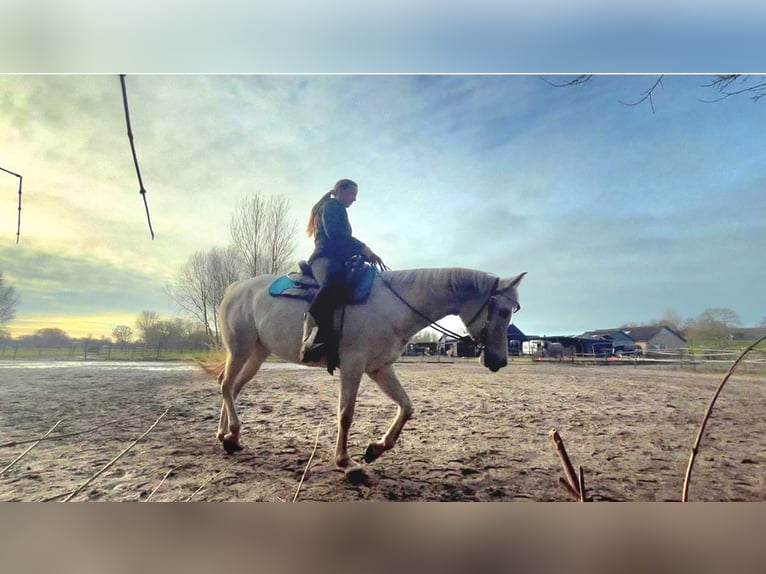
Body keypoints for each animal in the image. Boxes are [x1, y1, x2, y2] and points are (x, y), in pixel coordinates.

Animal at [201, 267, 526, 478]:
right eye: (501, 311)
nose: (500, 361)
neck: (391, 307)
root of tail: (235, 288)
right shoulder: (354, 366)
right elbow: (346, 415)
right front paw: (345, 462)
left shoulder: (379, 368)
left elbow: (407, 407)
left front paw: (375, 449)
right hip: (240, 349)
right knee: (227, 385)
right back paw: (231, 435)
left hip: (256, 354)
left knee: (231, 387)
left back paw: (225, 435)